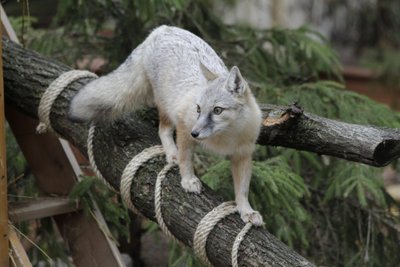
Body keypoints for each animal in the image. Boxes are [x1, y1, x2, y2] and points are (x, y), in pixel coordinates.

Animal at [67, 25, 264, 226]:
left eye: (217, 110)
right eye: (198, 109)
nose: (195, 133)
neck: (225, 138)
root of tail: (163, 29)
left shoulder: (242, 154)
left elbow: (242, 190)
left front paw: (246, 211)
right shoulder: (184, 127)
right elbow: (186, 159)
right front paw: (188, 180)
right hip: (166, 107)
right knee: (163, 130)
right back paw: (172, 153)